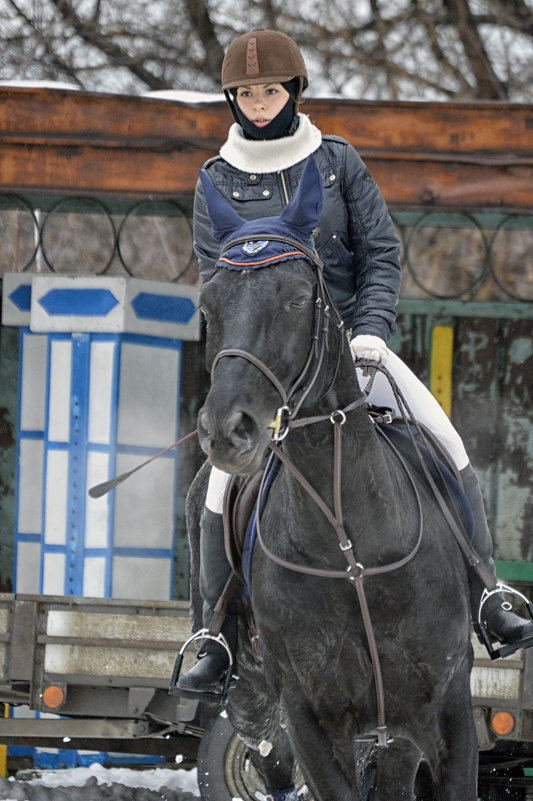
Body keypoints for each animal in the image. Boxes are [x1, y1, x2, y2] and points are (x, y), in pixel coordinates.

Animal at [186, 158, 474, 800]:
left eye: (297, 299)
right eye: (208, 305)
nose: (227, 429)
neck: (349, 548)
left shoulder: (444, 710)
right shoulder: (310, 719)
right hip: (255, 696)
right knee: (265, 750)